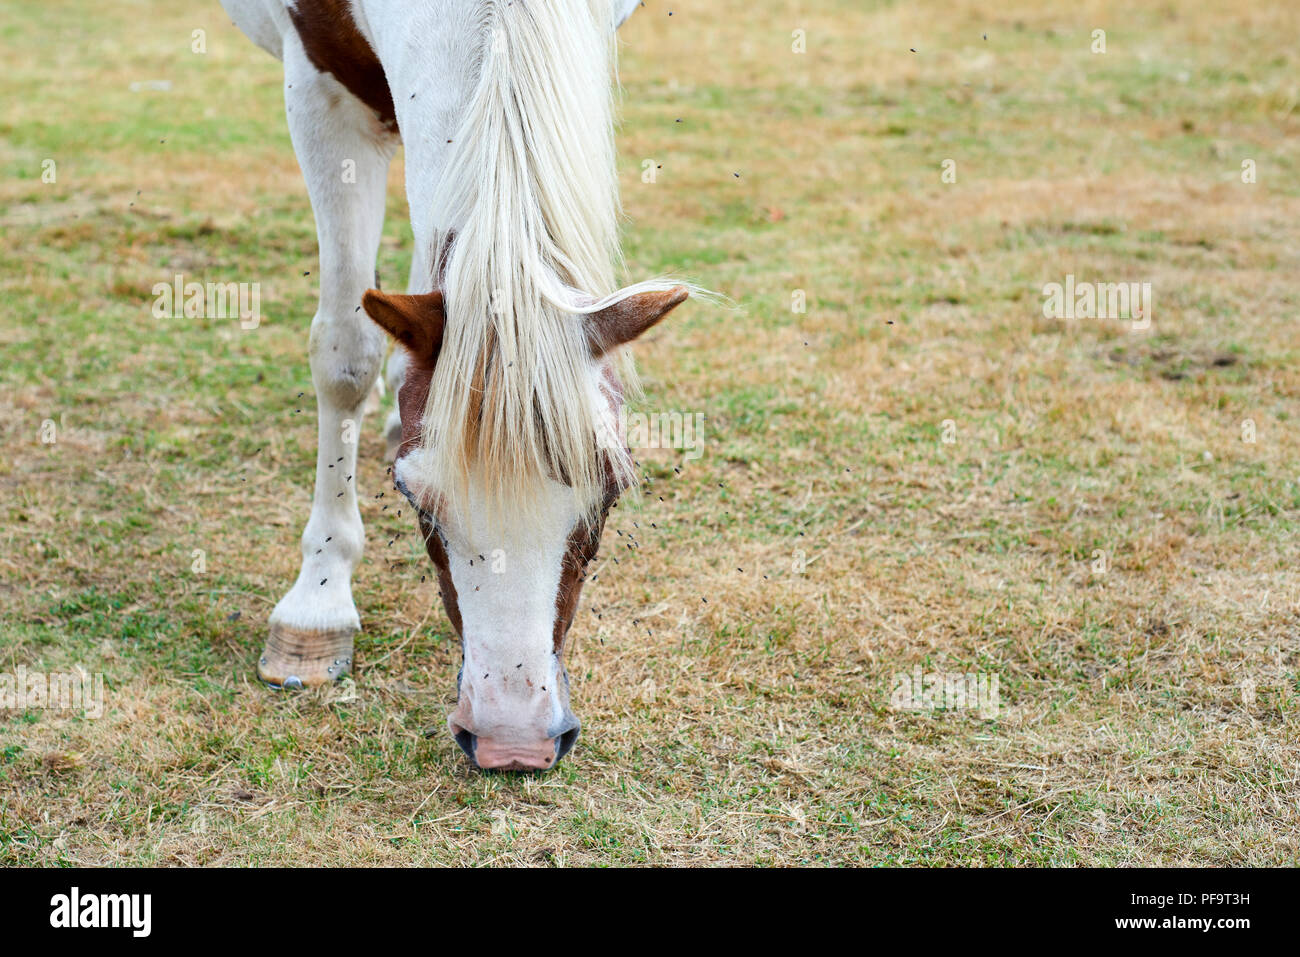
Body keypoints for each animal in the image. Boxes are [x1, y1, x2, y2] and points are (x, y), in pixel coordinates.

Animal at [220, 0, 691, 774]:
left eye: (612, 491)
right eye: (414, 500)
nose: (513, 743)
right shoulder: (320, 90)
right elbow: (345, 356)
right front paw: (317, 603)